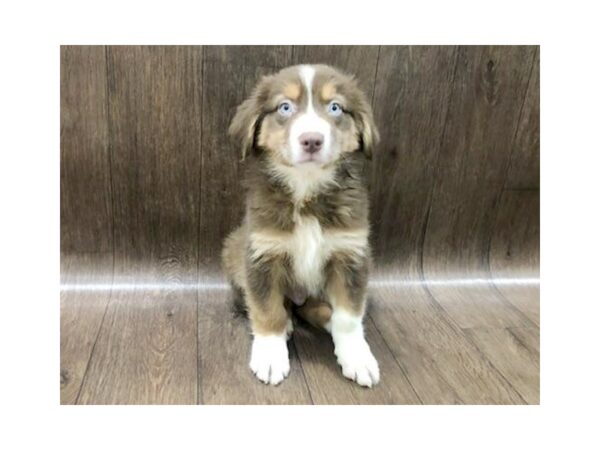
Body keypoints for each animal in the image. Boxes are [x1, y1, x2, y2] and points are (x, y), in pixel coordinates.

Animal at [220, 63, 380, 386]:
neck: (306, 191)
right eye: (285, 107)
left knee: (311, 307)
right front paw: (270, 355)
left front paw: (357, 357)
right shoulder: (262, 254)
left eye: (335, 107)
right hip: (232, 250)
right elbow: (267, 308)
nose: (312, 140)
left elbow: (349, 316)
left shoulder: (351, 255)